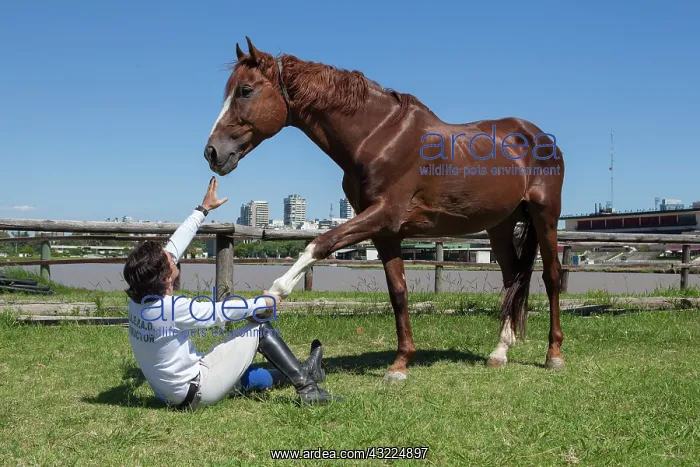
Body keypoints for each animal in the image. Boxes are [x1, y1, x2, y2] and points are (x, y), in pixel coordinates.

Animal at [204, 37, 566, 382]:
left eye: (245, 90)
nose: (212, 152)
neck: (378, 137)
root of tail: (535, 135)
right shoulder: (386, 232)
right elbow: (398, 292)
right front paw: (400, 363)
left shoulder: (382, 216)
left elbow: (318, 244)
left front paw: (271, 297)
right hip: (499, 227)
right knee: (511, 278)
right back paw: (500, 351)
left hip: (545, 217)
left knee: (551, 276)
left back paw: (554, 354)